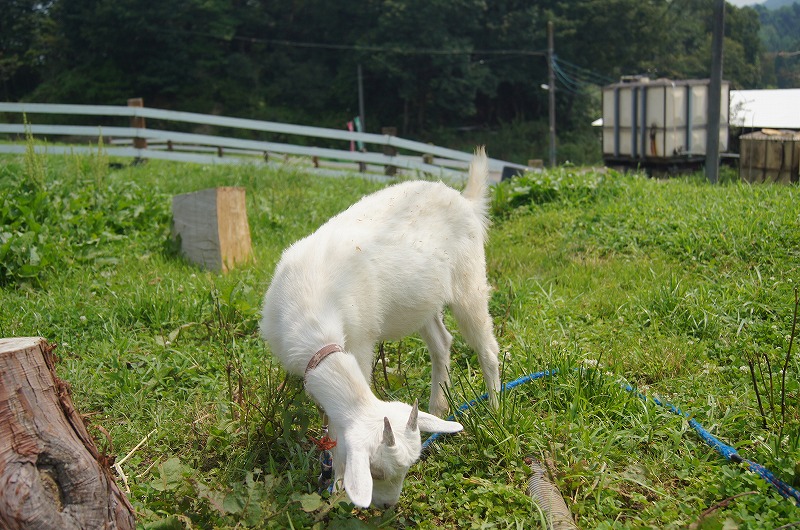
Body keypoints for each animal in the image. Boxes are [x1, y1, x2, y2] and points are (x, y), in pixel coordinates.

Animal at [260, 145, 500, 508]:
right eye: (377, 471)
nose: (388, 505)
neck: (310, 305)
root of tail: (464, 199)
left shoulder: (360, 341)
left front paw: (336, 482)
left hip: (469, 278)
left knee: (487, 347)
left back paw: (496, 407)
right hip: (422, 302)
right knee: (442, 341)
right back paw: (438, 408)